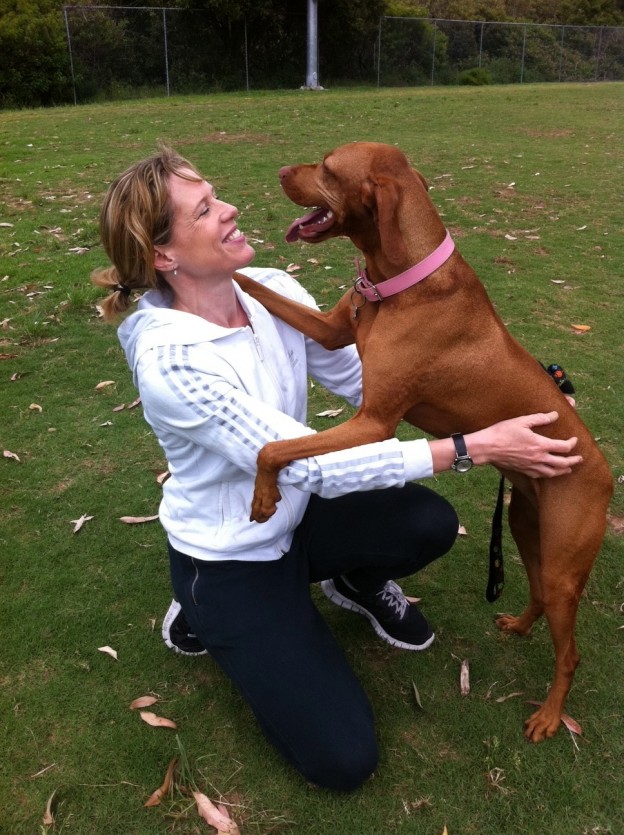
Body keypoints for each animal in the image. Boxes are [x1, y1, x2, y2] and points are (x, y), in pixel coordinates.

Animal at [233, 142, 608, 744]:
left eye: (328, 168)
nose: (282, 170)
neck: (397, 284)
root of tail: (606, 472)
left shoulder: (374, 422)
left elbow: (275, 449)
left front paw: (265, 495)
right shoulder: (332, 332)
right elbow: (262, 289)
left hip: (565, 562)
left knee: (570, 652)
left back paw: (550, 716)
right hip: (527, 529)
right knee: (538, 596)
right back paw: (520, 624)